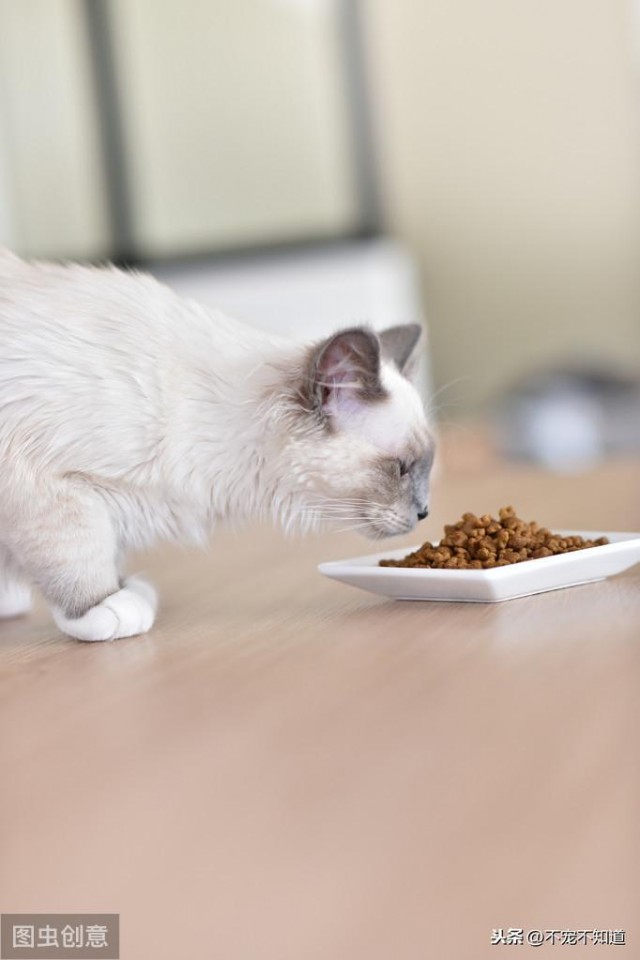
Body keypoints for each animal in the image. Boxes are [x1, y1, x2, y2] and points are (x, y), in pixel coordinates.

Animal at [0, 251, 436, 640]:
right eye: (401, 468)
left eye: (426, 467)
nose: (425, 512)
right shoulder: (49, 482)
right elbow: (78, 553)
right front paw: (105, 607)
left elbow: (107, 550)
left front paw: (127, 589)